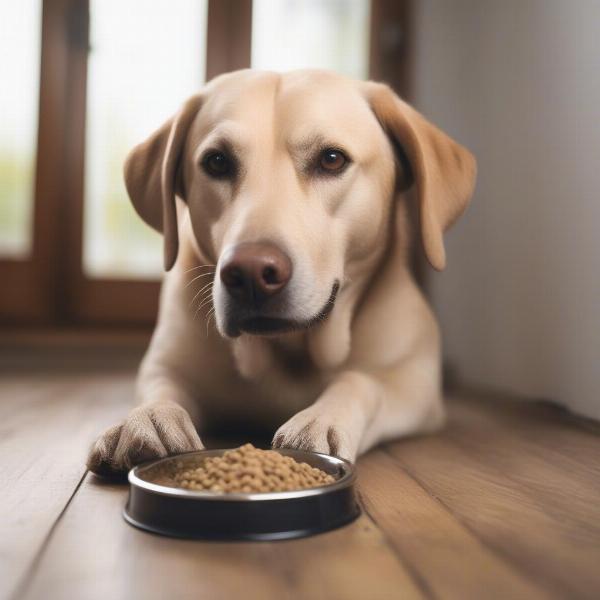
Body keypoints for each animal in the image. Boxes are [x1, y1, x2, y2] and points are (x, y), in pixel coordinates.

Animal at [86, 70, 476, 474]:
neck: (287, 351)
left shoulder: (415, 387)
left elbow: (360, 381)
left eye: (332, 159)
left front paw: (321, 418)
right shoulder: (166, 365)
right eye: (217, 162)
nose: (251, 274)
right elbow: (158, 387)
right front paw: (146, 418)